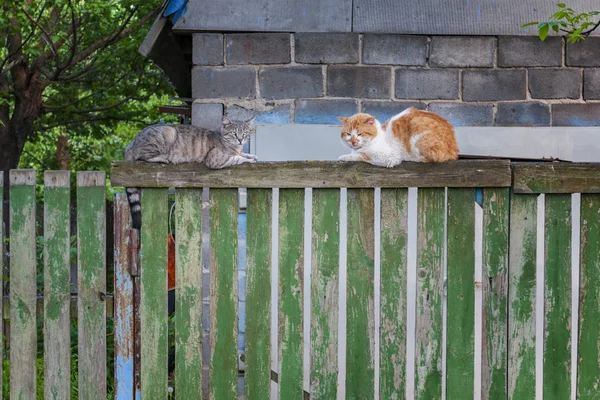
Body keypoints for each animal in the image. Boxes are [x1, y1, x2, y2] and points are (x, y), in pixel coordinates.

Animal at [125, 115, 256, 228]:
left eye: (245, 133)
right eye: (234, 133)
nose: (240, 139)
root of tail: (130, 145)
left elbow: (242, 154)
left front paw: (251, 155)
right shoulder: (215, 159)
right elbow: (237, 158)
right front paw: (249, 159)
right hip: (168, 133)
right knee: (142, 156)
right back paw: (163, 158)